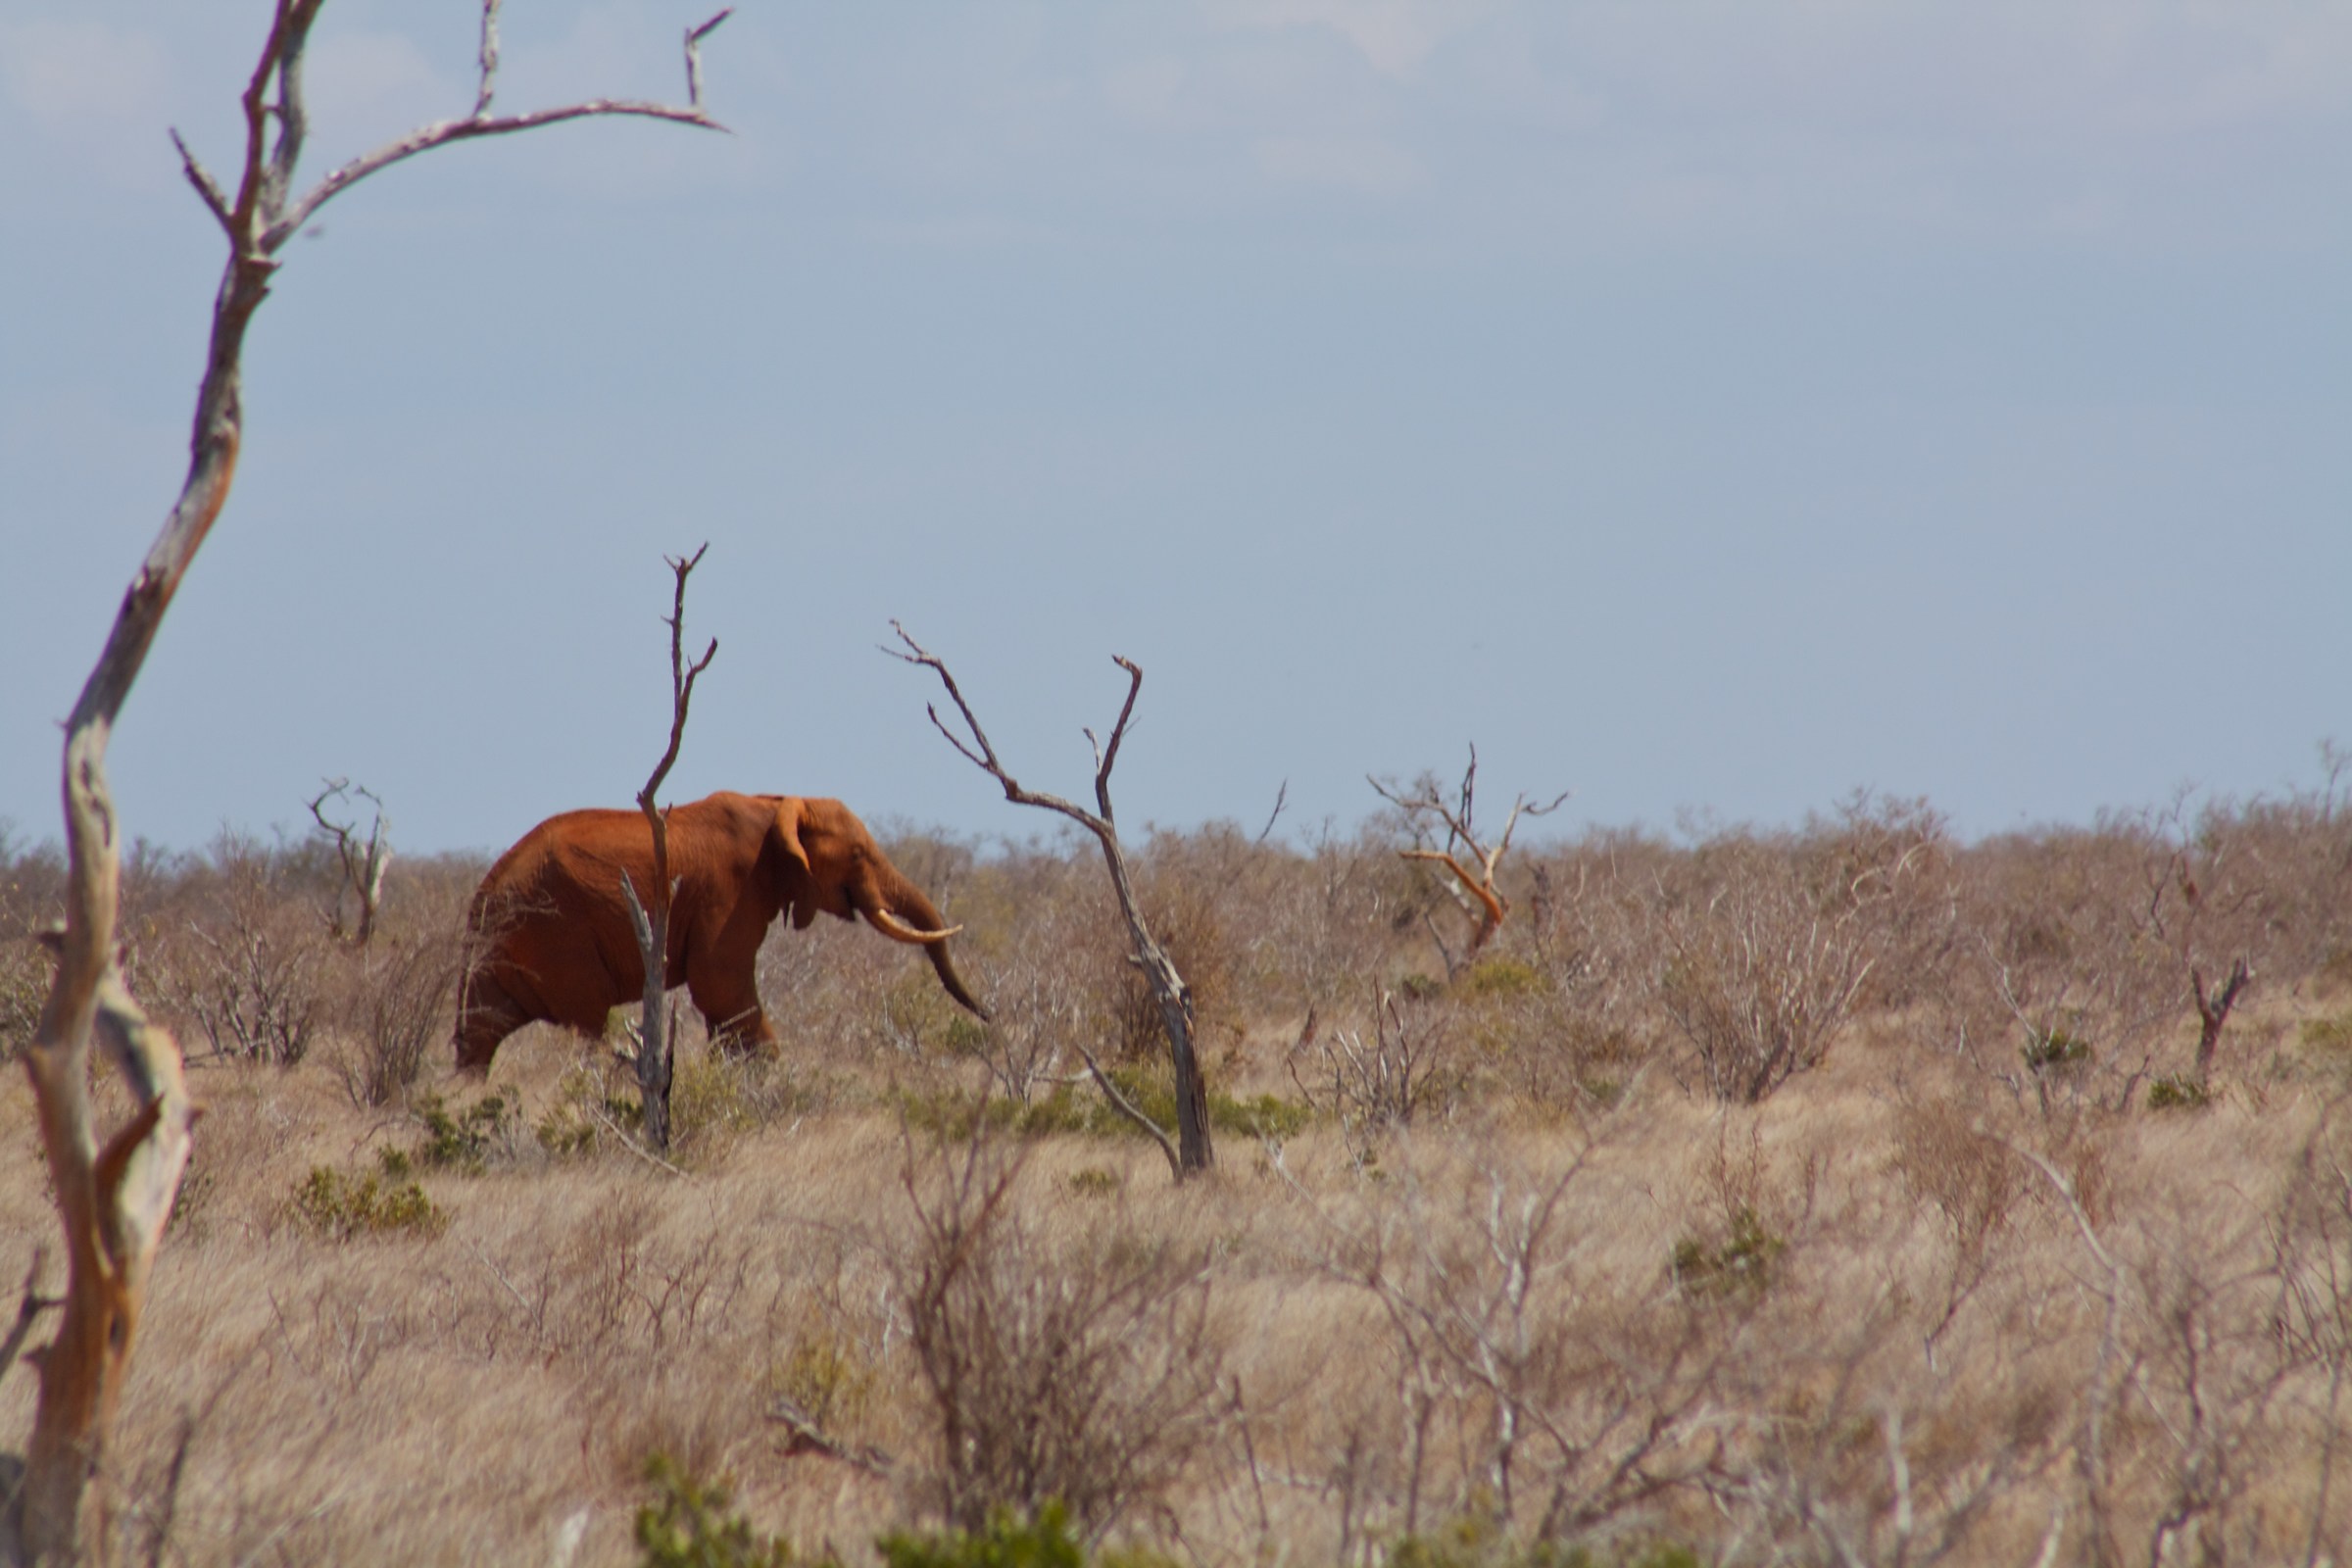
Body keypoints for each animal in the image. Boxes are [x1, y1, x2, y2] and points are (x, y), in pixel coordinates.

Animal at [453, 790, 985, 1072]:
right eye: (857, 855)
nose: (990, 1015)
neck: (778, 803)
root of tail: (484, 893)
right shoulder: (730, 890)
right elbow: (722, 987)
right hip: (558, 937)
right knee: (585, 1026)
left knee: (480, 1033)